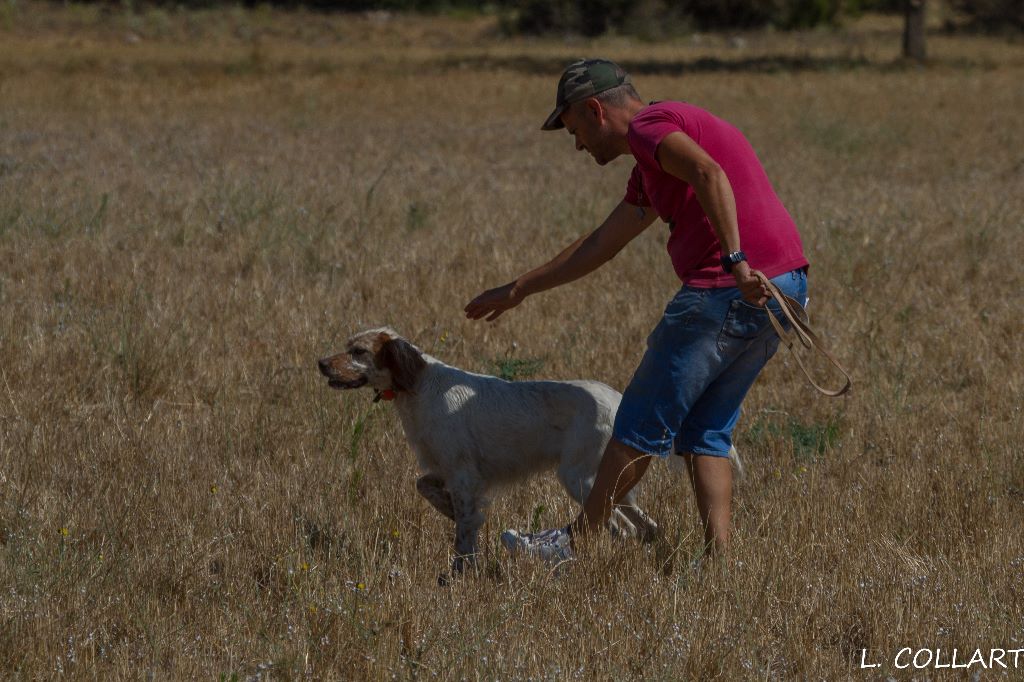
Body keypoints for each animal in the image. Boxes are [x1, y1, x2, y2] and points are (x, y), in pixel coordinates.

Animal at [319, 327, 655, 569]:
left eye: (358, 351)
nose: (320, 363)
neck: (418, 385)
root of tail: (617, 400)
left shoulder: (464, 476)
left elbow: (465, 532)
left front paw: (461, 572)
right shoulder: (445, 468)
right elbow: (423, 486)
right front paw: (447, 508)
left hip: (579, 477)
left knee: (621, 526)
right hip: (612, 481)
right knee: (642, 525)